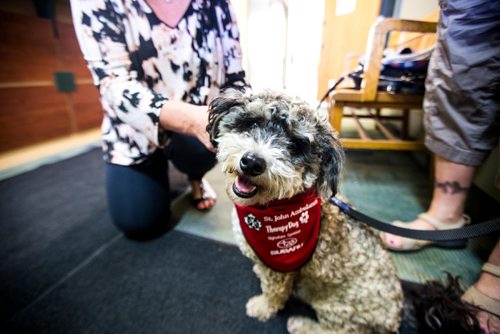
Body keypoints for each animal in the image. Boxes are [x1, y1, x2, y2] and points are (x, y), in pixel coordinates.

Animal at [205, 90, 404, 332]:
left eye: (294, 145)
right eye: (253, 123)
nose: (252, 162)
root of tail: (394, 322)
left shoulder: (280, 271)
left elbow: (274, 294)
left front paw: (262, 307)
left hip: (338, 309)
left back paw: (301, 324)